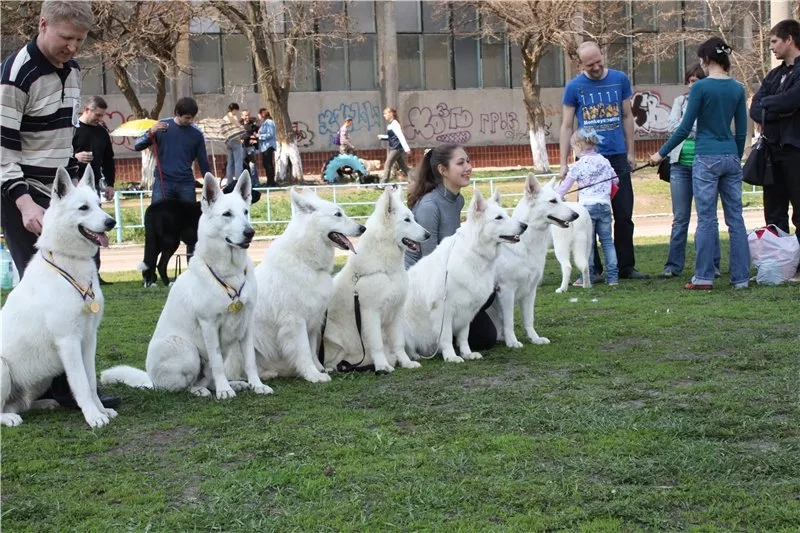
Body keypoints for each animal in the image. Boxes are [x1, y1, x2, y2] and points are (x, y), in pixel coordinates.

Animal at [1, 168, 117, 426]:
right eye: (83, 208)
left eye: (99, 204)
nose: (111, 222)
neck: (69, 263)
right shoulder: (69, 342)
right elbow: (81, 384)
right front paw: (93, 416)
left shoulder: (89, 339)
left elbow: (91, 382)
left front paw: (101, 410)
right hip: (3, 368)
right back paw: (9, 418)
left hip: (39, 377)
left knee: (21, 403)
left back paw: (44, 404)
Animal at [233, 187, 364, 382]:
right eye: (338, 214)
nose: (363, 228)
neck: (305, 261)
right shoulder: (295, 322)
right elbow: (304, 351)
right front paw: (312, 374)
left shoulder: (313, 320)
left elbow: (312, 350)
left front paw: (320, 368)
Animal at [320, 187, 428, 374]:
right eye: (407, 220)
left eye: (413, 218)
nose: (428, 234)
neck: (386, 269)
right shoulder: (370, 313)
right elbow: (376, 344)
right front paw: (382, 366)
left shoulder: (396, 312)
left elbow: (399, 343)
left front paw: (406, 362)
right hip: (334, 337)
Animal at [404, 188, 528, 362]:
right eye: (499, 218)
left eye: (506, 214)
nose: (525, 226)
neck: (474, 253)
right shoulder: (443, 310)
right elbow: (446, 337)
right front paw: (451, 356)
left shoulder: (467, 309)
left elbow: (463, 336)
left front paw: (467, 353)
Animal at [484, 177, 580, 348]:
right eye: (553, 201)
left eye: (561, 199)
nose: (576, 215)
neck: (526, 244)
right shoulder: (506, 290)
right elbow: (509, 321)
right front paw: (512, 341)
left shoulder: (530, 290)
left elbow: (529, 319)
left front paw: (534, 338)